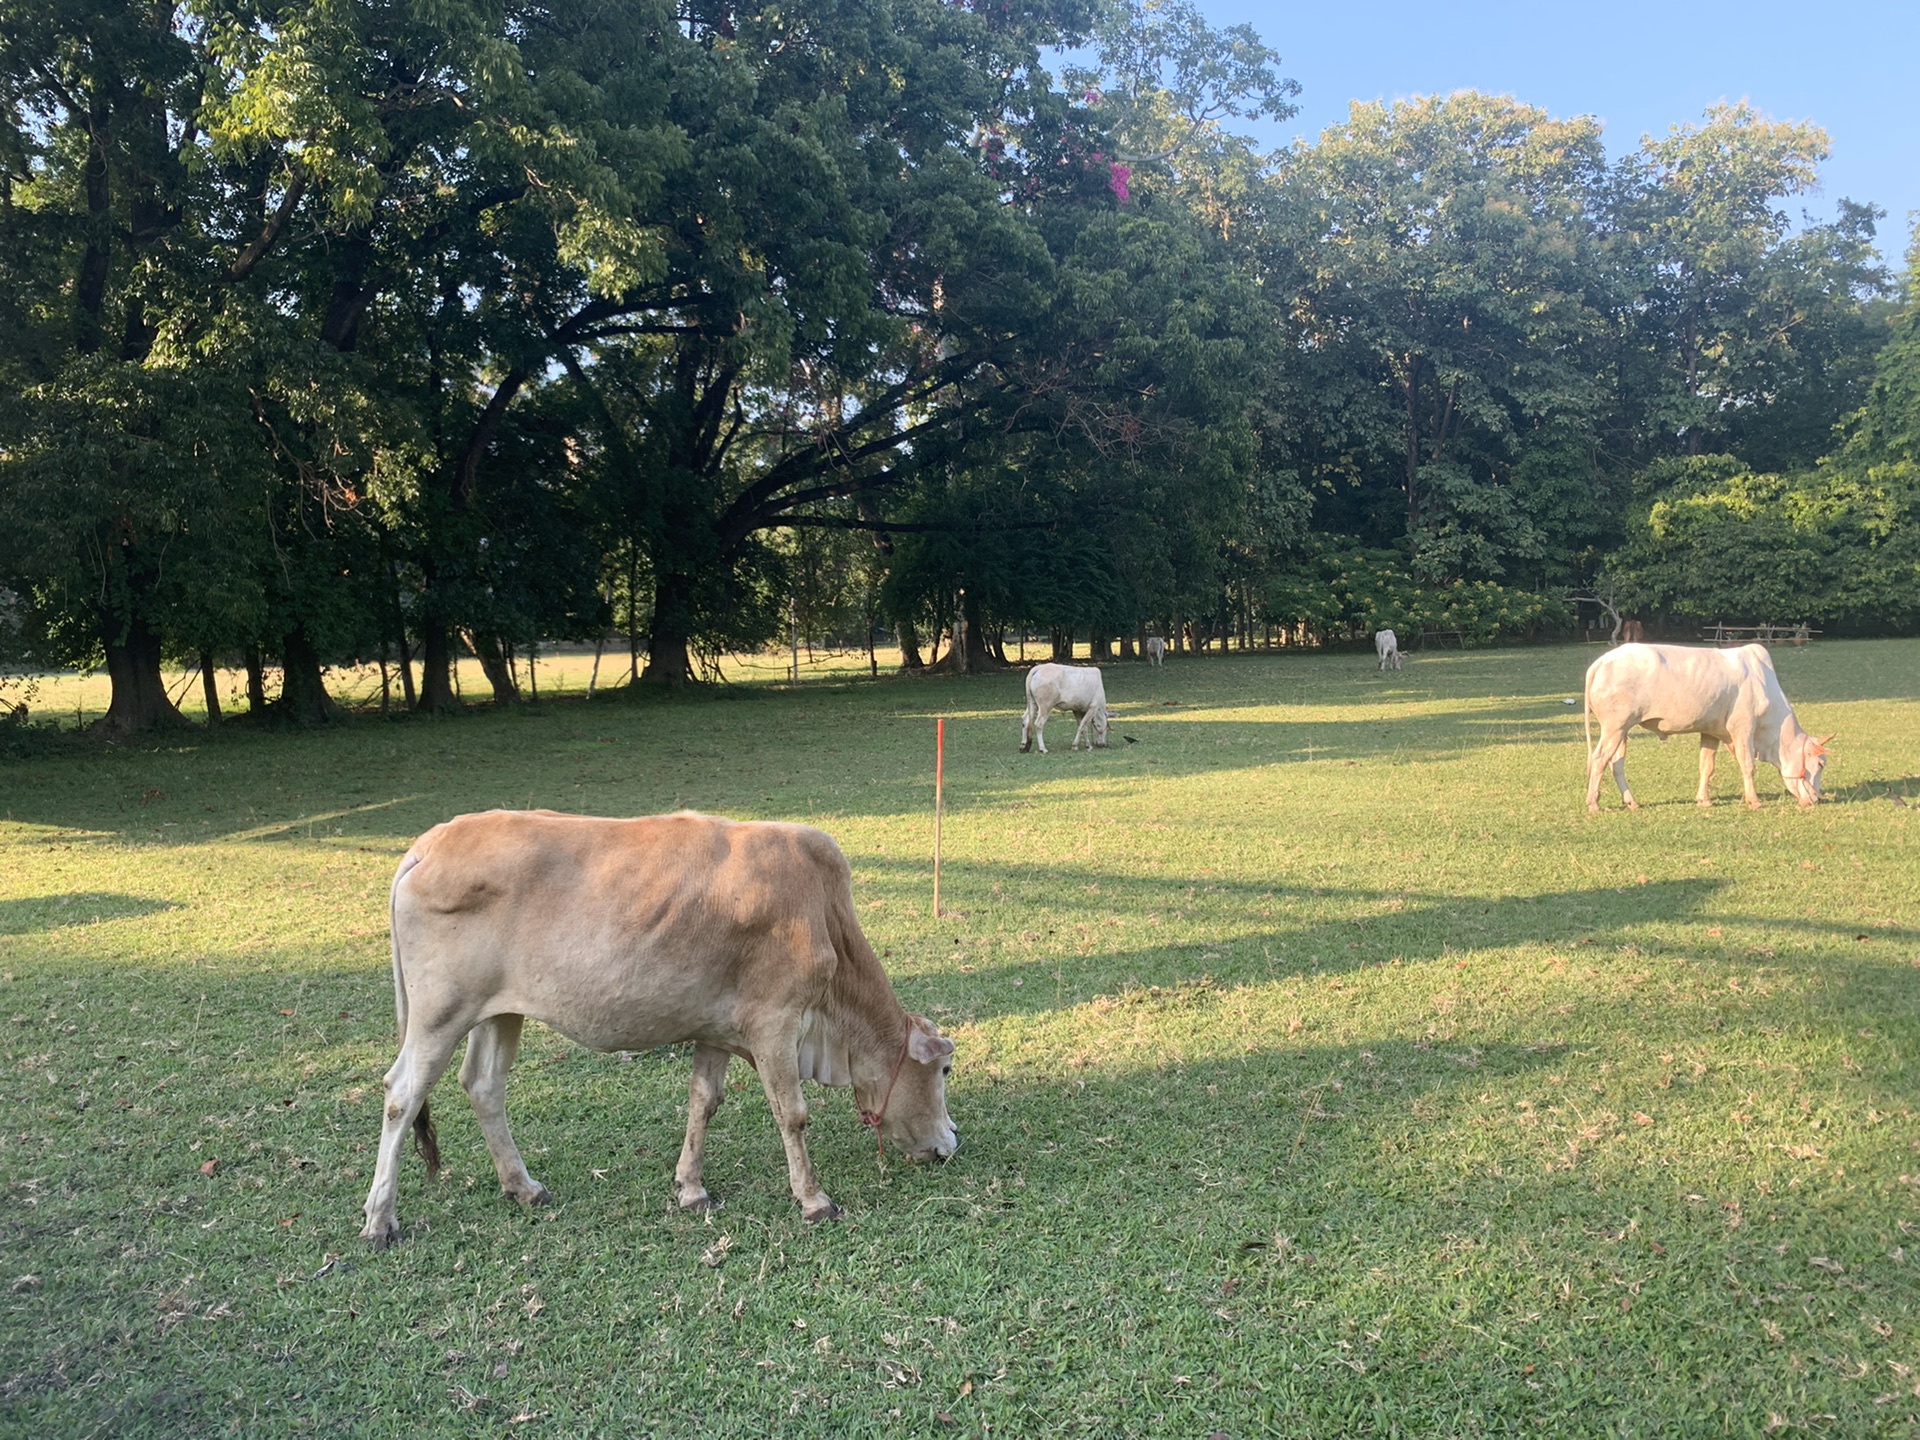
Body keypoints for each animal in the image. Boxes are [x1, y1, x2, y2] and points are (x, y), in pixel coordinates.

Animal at [357, 806, 956, 1244]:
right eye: (945, 1071)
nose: (952, 1142)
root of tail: (430, 842)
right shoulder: (776, 1022)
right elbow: (792, 1115)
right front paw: (813, 1199)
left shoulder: (717, 1029)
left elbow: (703, 1103)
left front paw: (691, 1187)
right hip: (440, 1011)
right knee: (402, 1094)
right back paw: (380, 1220)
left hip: (499, 1011)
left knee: (483, 1085)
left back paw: (523, 1186)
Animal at [1582, 648, 1835, 817]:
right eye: (1820, 763)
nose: (1817, 799)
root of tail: (1601, 661)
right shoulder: (1743, 729)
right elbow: (1748, 766)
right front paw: (1754, 801)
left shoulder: (1711, 732)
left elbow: (1707, 766)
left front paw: (1704, 800)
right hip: (1614, 727)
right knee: (1599, 759)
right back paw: (1593, 803)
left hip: (1622, 730)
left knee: (1616, 764)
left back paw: (1631, 802)